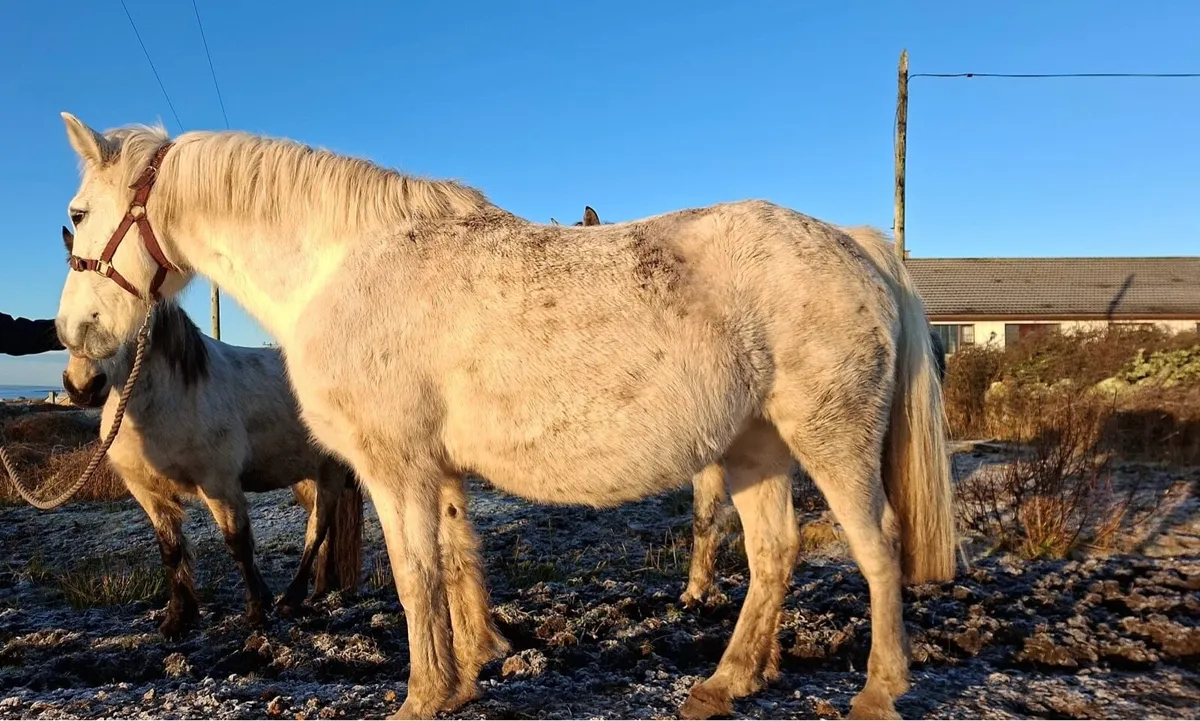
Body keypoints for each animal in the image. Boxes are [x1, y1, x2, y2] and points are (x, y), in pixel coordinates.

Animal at [59, 256, 365, 639]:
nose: (81, 386)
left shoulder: (220, 484)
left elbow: (238, 544)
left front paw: (256, 614)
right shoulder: (147, 491)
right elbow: (171, 549)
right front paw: (178, 618)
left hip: (330, 472)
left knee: (317, 530)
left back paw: (291, 600)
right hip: (303, 476)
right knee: (323, 531)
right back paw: (318, 590)